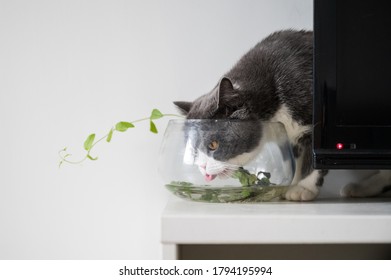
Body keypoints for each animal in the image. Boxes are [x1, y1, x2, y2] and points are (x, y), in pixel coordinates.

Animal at [175, 30, 391, 201]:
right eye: (193, 148)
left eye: (213, 144)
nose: (202, 167)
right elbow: (292, 161)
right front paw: (290, 184)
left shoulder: (316, 123)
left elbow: (313, 158)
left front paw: (303, 188)